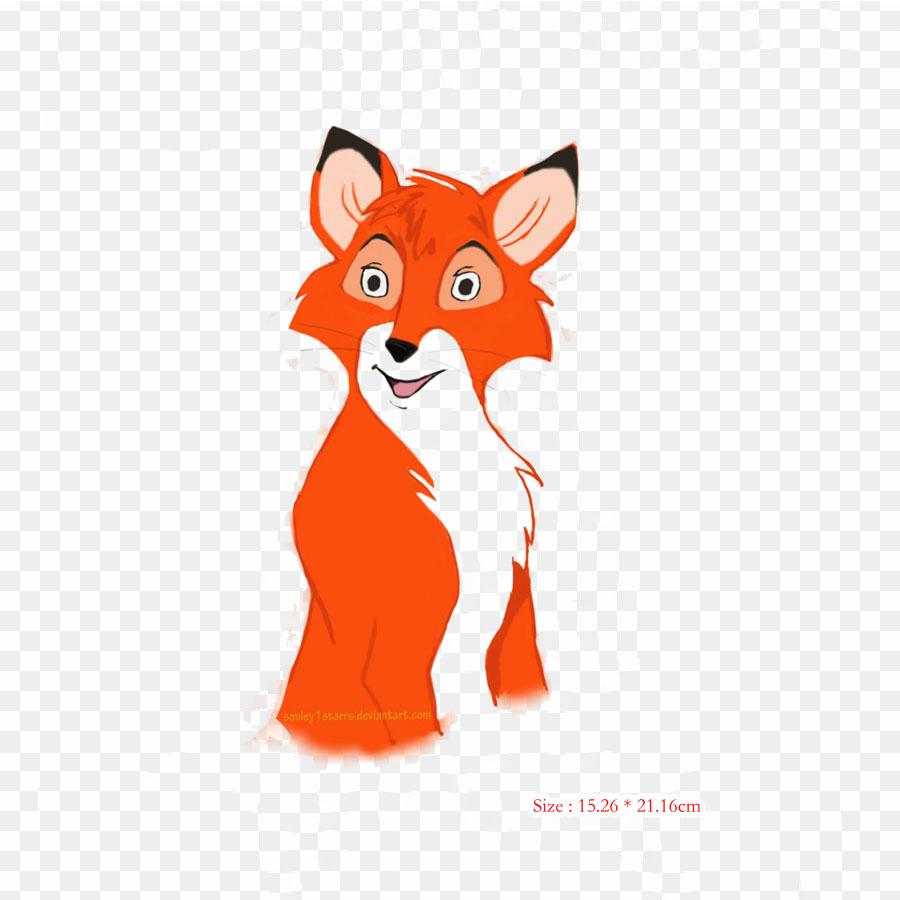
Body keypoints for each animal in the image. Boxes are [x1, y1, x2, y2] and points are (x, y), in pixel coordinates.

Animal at [276, 127, 578, 754]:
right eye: (374, 281)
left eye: (465, 286)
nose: (399, 346)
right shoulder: (396, 625)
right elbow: (405, 705)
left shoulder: (514, 603)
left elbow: (519, 677)